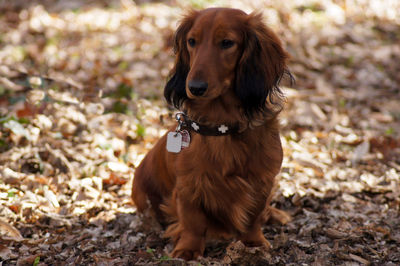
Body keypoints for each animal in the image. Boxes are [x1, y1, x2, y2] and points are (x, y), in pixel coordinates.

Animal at [133, 7, 292, 260]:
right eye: (192, 41)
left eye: (227, 42)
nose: (195, 87)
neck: (223, 126)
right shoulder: (188, 187)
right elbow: (193, 222)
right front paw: (188, 249)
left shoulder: (261, 182)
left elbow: (253, 216)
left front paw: (254, 242)